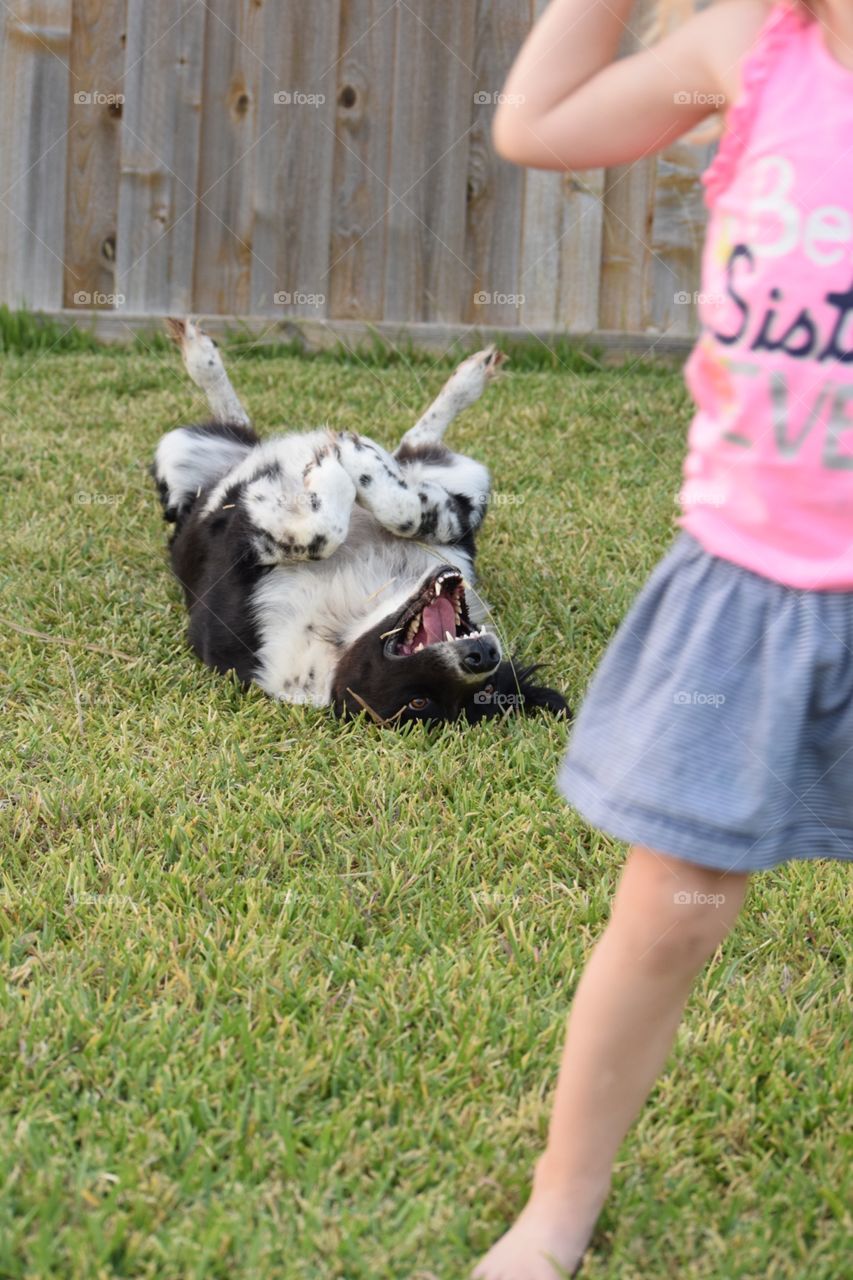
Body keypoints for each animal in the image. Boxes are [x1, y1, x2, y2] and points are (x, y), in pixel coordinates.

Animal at [153, 317, 568, 732]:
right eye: (419, 701)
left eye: (484, 692)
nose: (482, 656)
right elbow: (370, 519)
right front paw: (344, 464)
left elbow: (361, 521)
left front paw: (343, 467)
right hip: (179, 458)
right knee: (239, 421)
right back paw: (201, 354)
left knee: (414, 442)